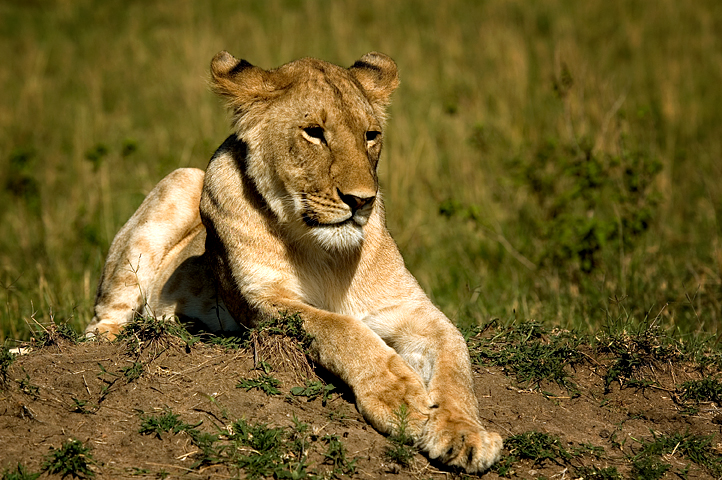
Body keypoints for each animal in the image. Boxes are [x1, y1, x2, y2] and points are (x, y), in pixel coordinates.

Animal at [86, 51, 503, 473]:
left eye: (370, 135)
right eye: (314, 133)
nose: (362, 200)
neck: (325, 253)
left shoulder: (411, 308)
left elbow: (455, 356)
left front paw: (465, 434)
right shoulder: (262, 301)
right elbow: (340, 328)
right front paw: (402, 400)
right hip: (181, 180)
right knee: (105, 316)